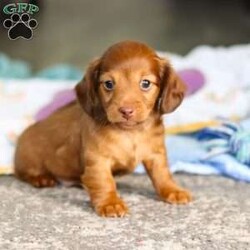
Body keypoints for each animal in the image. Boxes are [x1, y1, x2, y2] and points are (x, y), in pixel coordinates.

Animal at [14, 41, 192, 217]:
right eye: (109, 84)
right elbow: (104, 182)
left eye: (145, 83)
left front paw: (173, 191)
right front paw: (110, 203)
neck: (130, 133)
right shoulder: (98, 160)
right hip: (29, 158)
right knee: (23, 173)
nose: (126, 111)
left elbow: (162, 174)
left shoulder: (155, 154)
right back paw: (41, 178)